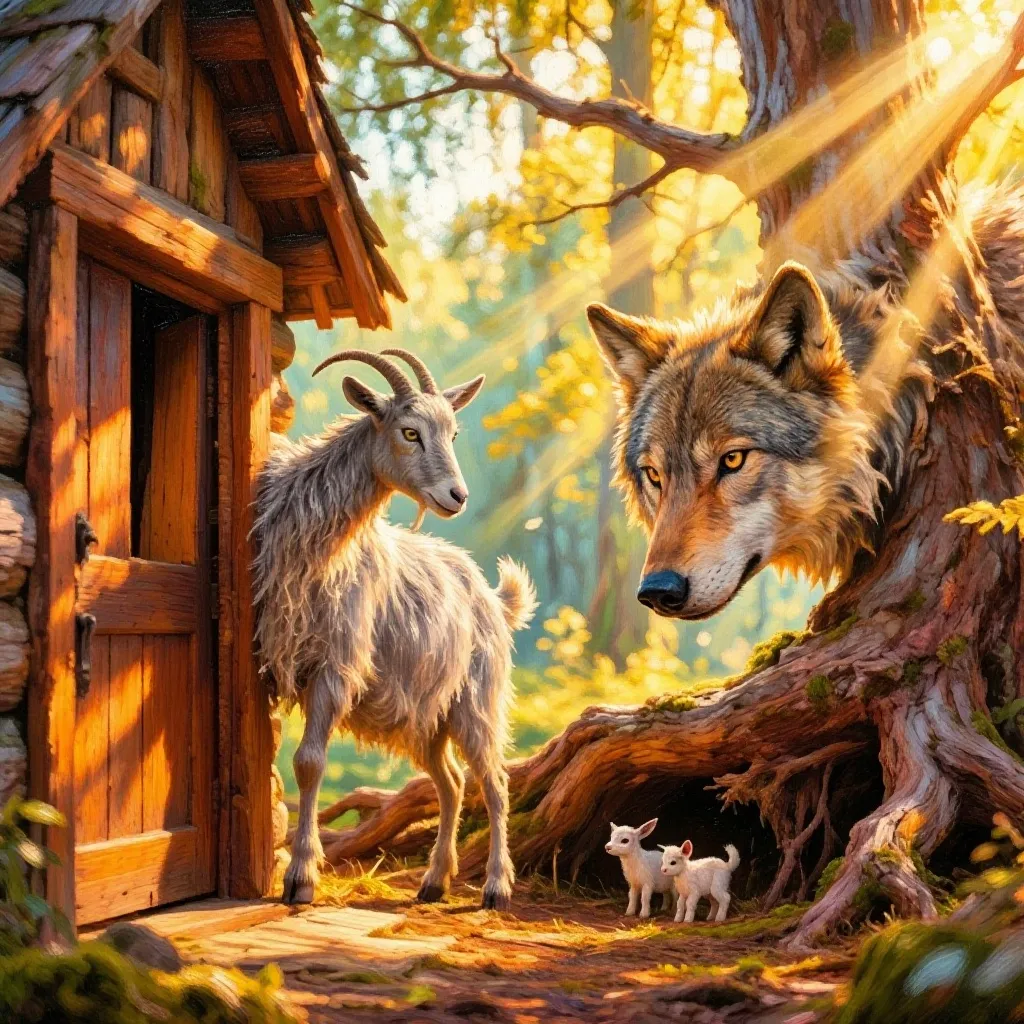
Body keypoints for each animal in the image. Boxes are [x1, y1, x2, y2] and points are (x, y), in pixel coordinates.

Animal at [253, 348, 537, 910]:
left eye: (453, 433)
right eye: (410, 432)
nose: (457, 496)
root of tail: (493, 598)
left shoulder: (337, 665)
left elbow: (309, 762)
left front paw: (301, 877)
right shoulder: (276, 657)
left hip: (478, 700)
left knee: (493, 782)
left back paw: (496, 888)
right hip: (432, 716)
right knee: (451, 783)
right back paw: (434, 881)